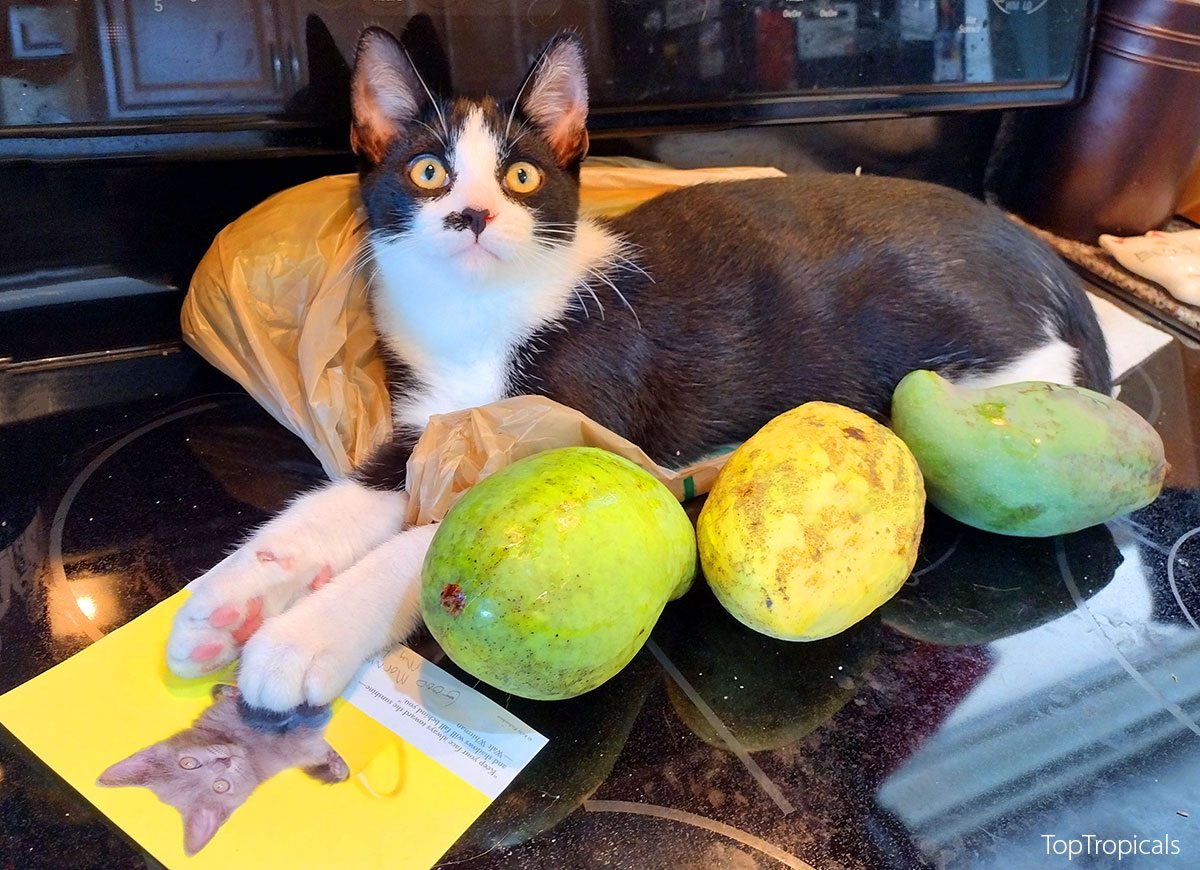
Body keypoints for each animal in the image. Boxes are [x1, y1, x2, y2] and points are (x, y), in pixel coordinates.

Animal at [164, 30, 1108, 715]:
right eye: (427, 170)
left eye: (521, 174)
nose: (472, 215)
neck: (481, 317)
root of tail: (1050, 264)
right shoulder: (426, 418)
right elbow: (332, 504)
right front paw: (221, 606)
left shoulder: (586, 411)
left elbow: (425, 542)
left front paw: (300, 641)